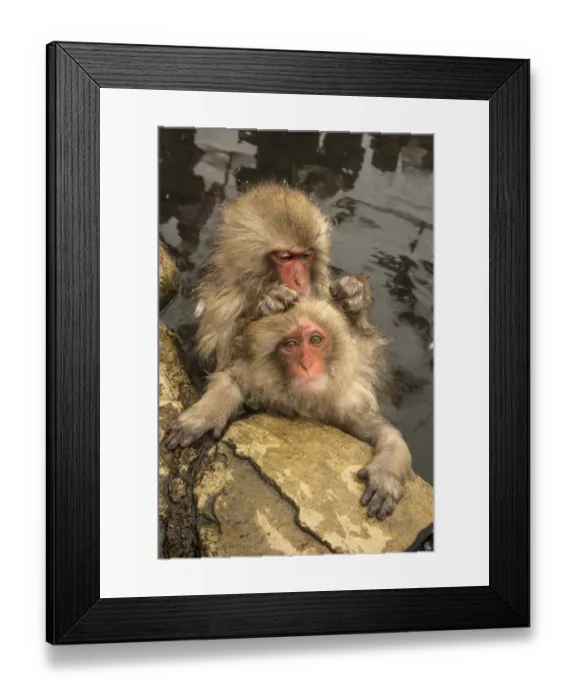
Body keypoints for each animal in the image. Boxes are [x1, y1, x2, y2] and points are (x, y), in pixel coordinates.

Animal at [164, 296, 414, 520]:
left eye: (315, 339)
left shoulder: (344, 403)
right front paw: (203, 416)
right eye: (290, 345)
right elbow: (231, 380)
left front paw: (386, 475)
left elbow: (384, 431)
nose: (307, 364)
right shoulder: (259, 378)